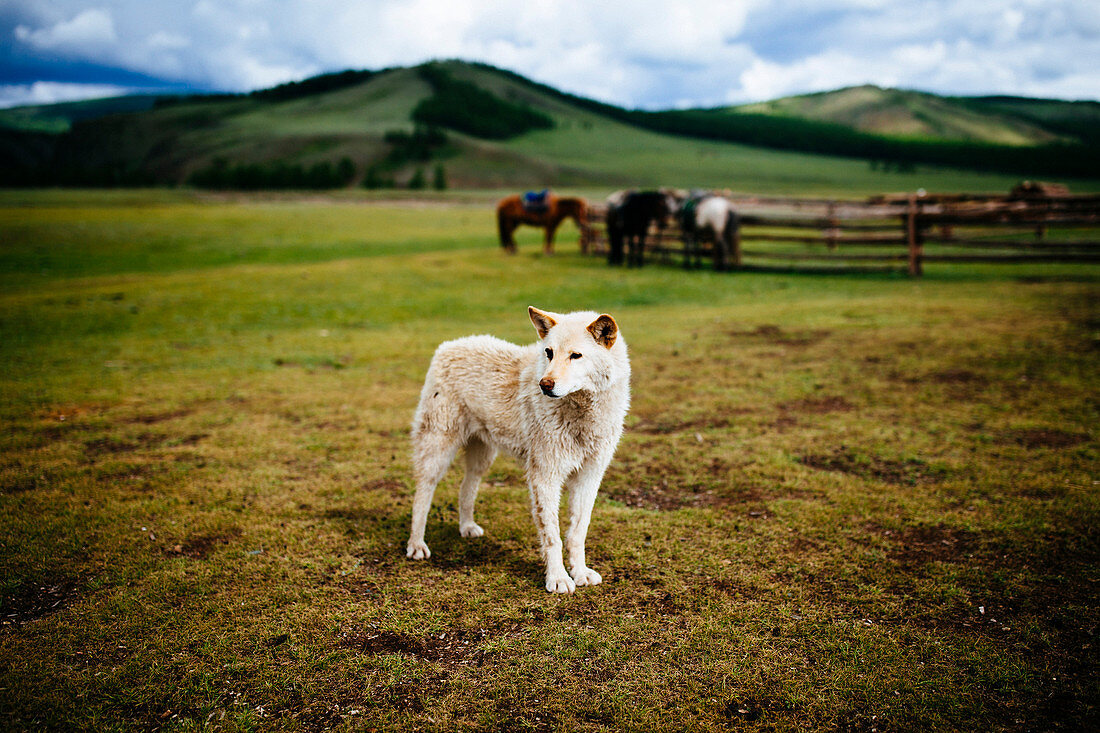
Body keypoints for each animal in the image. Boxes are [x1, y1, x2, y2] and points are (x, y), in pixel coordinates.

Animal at [407, 305, 633, 589]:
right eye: (548, 353)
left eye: (576, 355)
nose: (544, 385)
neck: (581, 412)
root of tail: (449, 345)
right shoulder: (544, 476)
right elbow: (553, 536)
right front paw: (558, 578)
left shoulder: (589, 477)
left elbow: (577, 533)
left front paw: (580, 572)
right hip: (438, 449)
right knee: (422, 494)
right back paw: (416, 544)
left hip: (482, 457)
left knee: (466, 487)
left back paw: (467, 527)